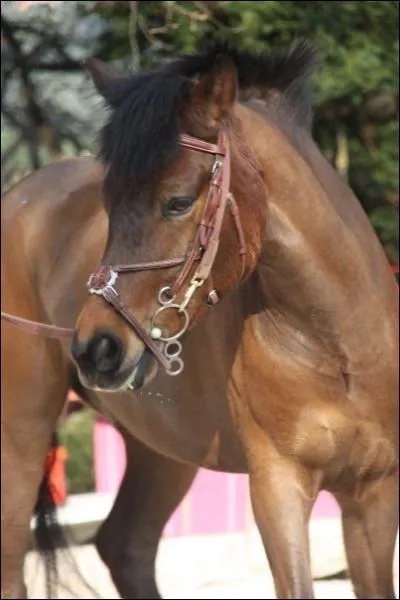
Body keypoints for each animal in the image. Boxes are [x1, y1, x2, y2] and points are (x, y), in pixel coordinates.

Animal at [1, 42, 398, 600]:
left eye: (178, 202)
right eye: (108, 203)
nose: (95, 348)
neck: (338, 345)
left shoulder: (374, 494)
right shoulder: (278, 485)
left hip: (160, 450)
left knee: (125, 545)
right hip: (21, 434)